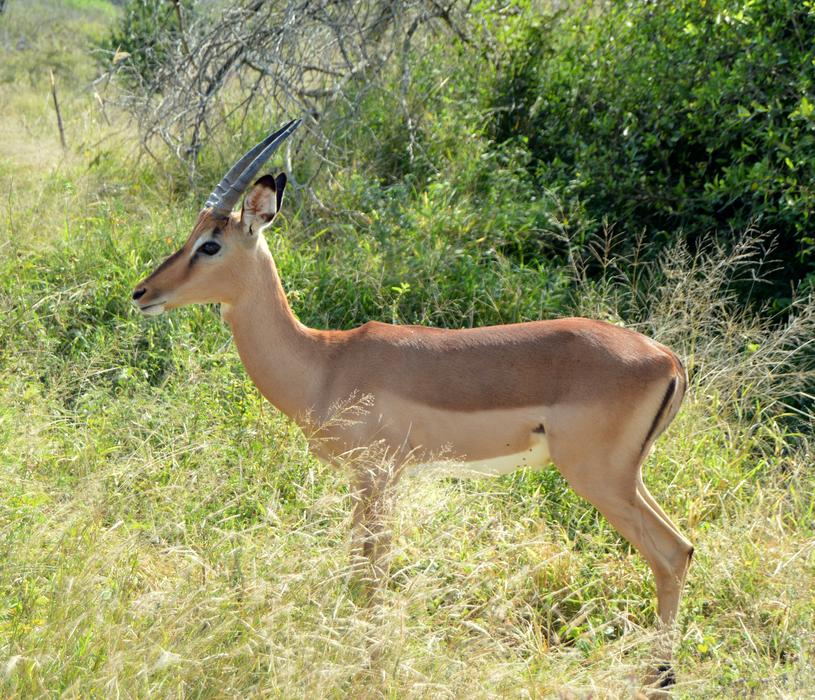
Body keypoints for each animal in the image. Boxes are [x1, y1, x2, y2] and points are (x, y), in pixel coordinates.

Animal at [133, 120, 693, 688]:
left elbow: (373, 572)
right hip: (625, 478)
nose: (142, 292)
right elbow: (357, 564)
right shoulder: (369, 481)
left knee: (672, 552)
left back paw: (660, 675)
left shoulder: (378, 476)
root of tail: (668, 359)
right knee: (681, 549)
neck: (325, 362)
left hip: (599, 477)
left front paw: (371, 665)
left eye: (210, 244)